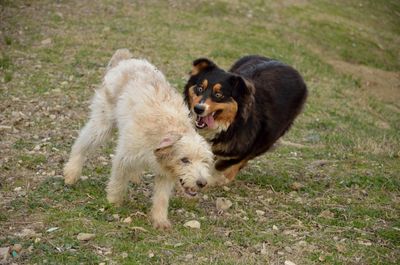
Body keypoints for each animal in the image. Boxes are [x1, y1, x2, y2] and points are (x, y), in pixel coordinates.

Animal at [63, 48, 212, 228]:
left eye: (204, 161)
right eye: (184, 160)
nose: (202, 183)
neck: (168, 128)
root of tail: (126, 60)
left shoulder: (165, 173)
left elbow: (161, 198)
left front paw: (160, 220)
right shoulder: (124, 157)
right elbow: (118, 181)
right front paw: (113, 202)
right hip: (102, 124)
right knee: (81, 143)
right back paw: (72, 172)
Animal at [183, 55, 308, 184]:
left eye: (218, 95)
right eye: (200, 88)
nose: (198, 109)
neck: (230, 124)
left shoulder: (246, 147)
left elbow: (222, 164)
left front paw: (216, 178)